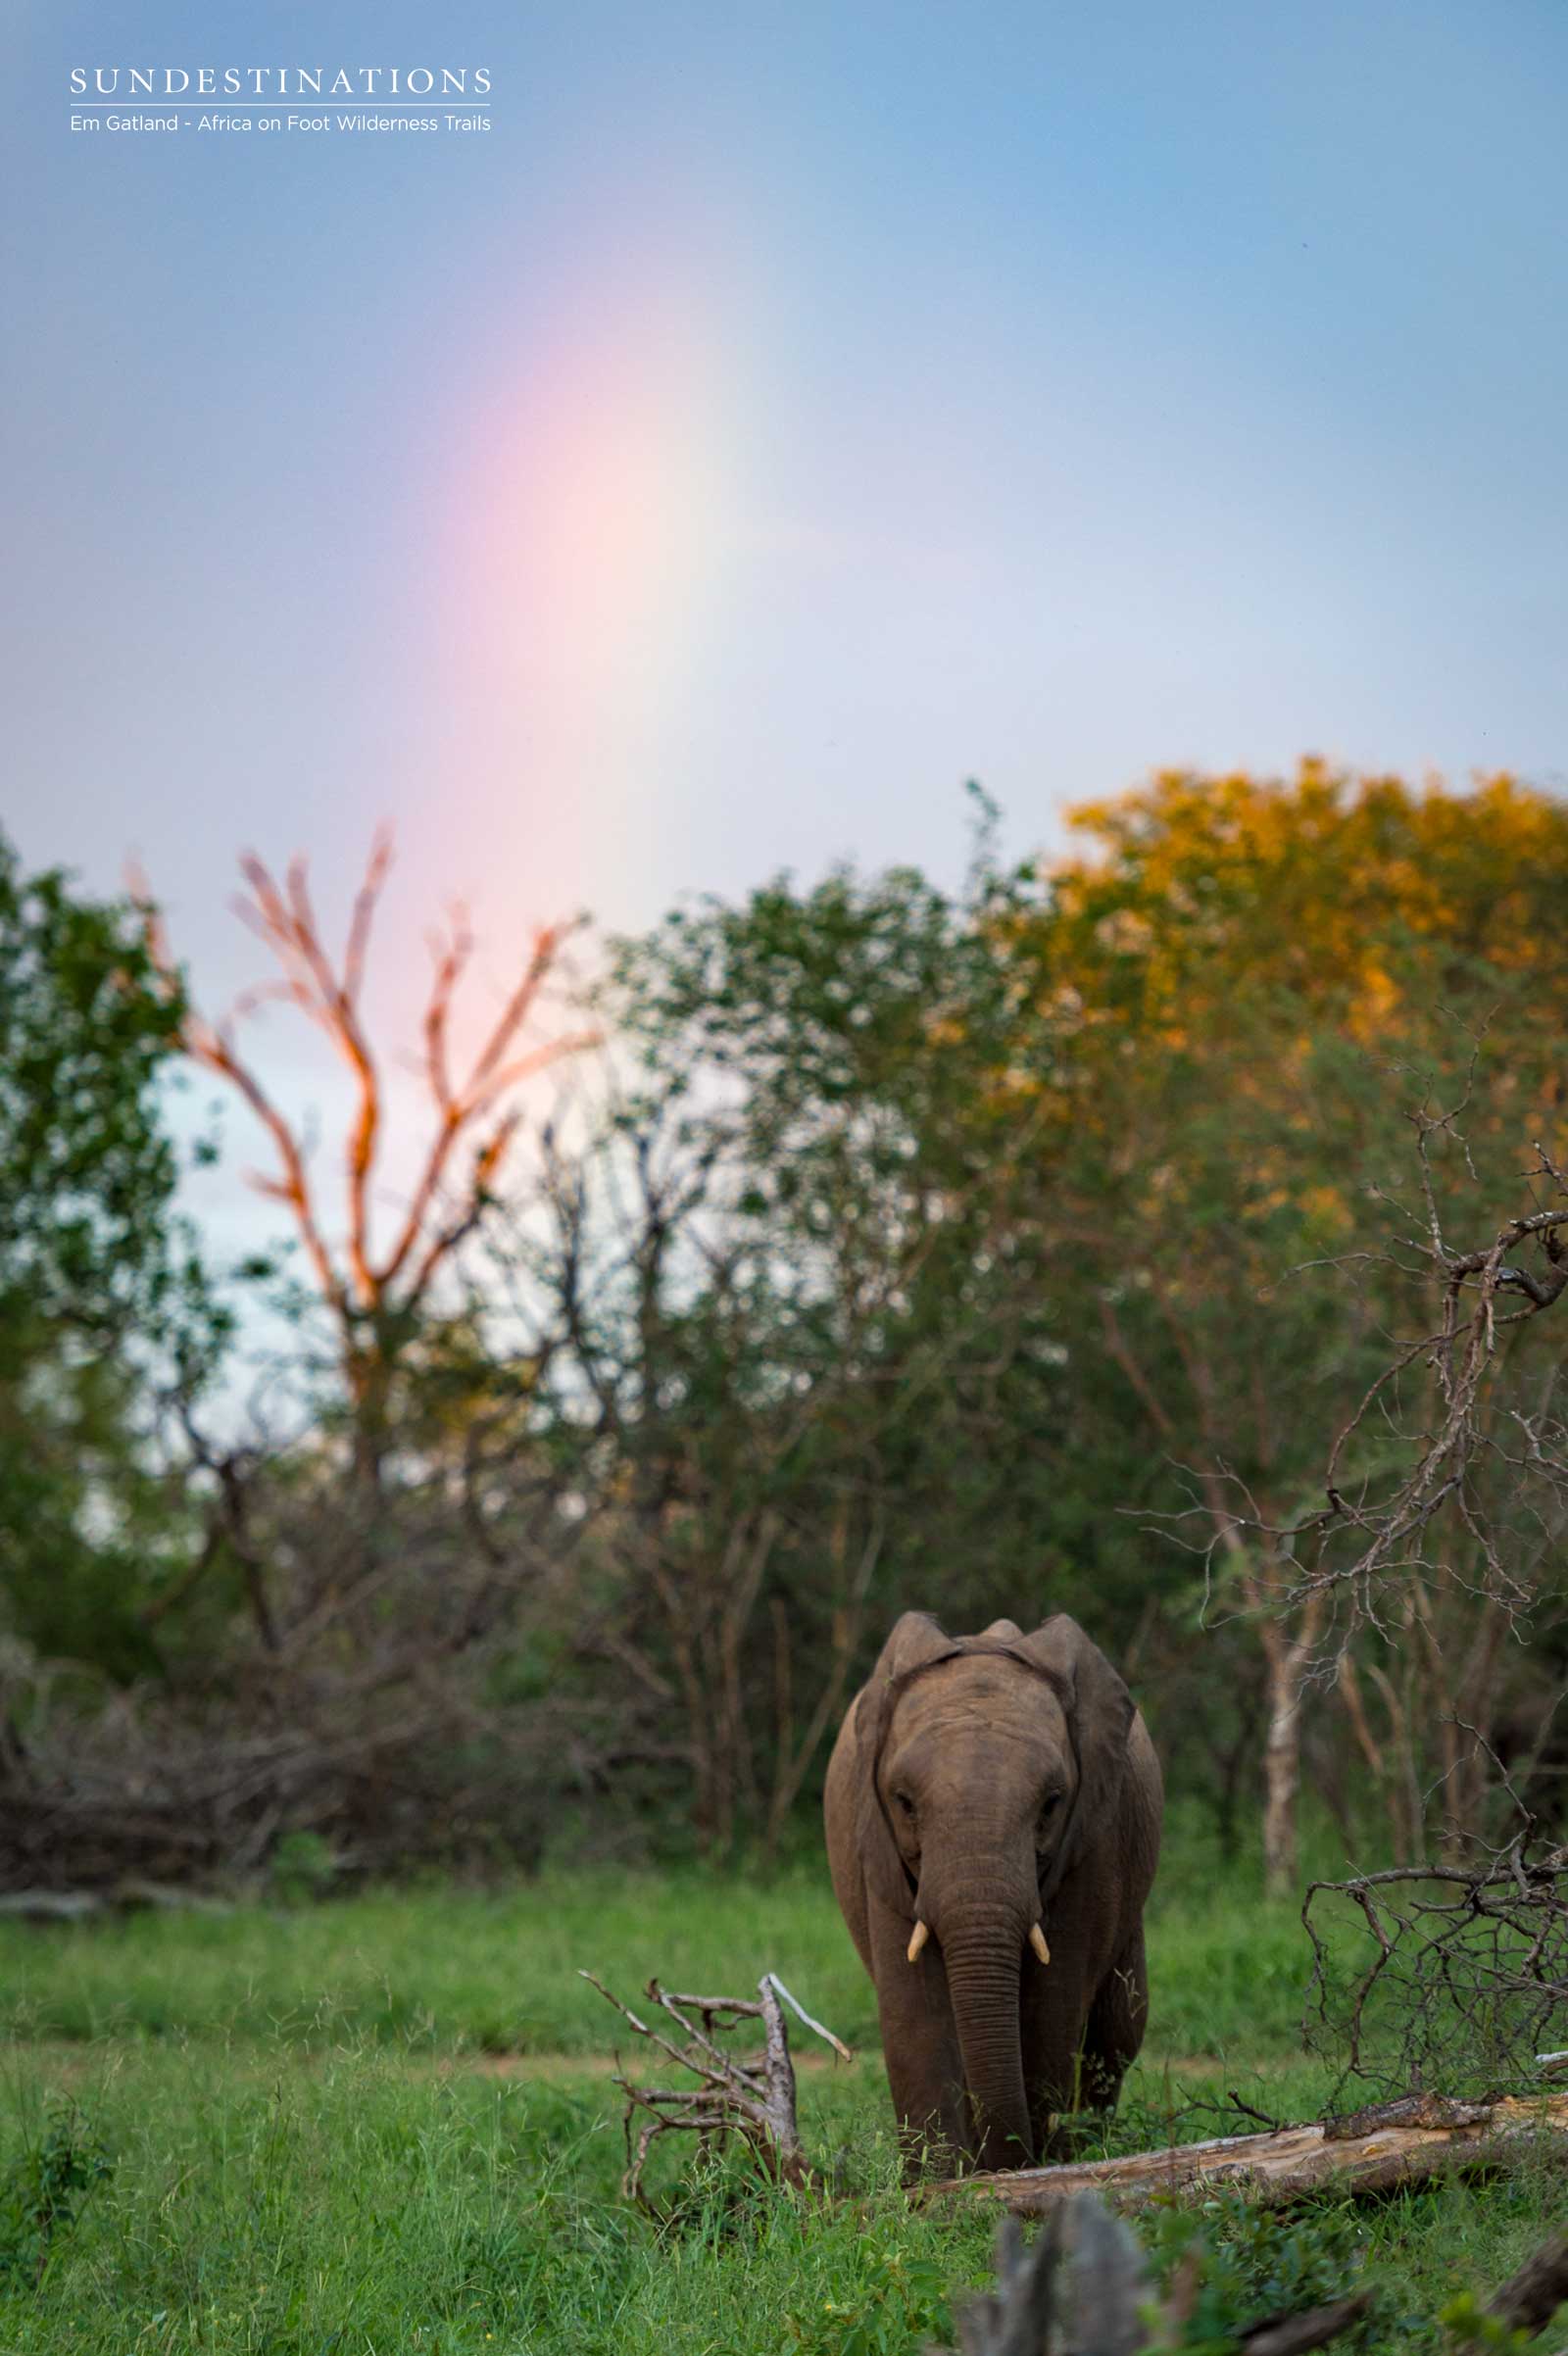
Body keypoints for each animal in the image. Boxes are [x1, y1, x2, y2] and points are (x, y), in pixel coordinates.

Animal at [824, 1610, 1162, 2175]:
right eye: (904, 1803)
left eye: (1051, 1803)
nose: (1004, 2162)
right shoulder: (878, 1848)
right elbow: (915, 2013)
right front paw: (941, 2183)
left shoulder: (1091, 1847)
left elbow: (1050, 2011)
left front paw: (1027, 2169)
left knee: (1116, 2032)